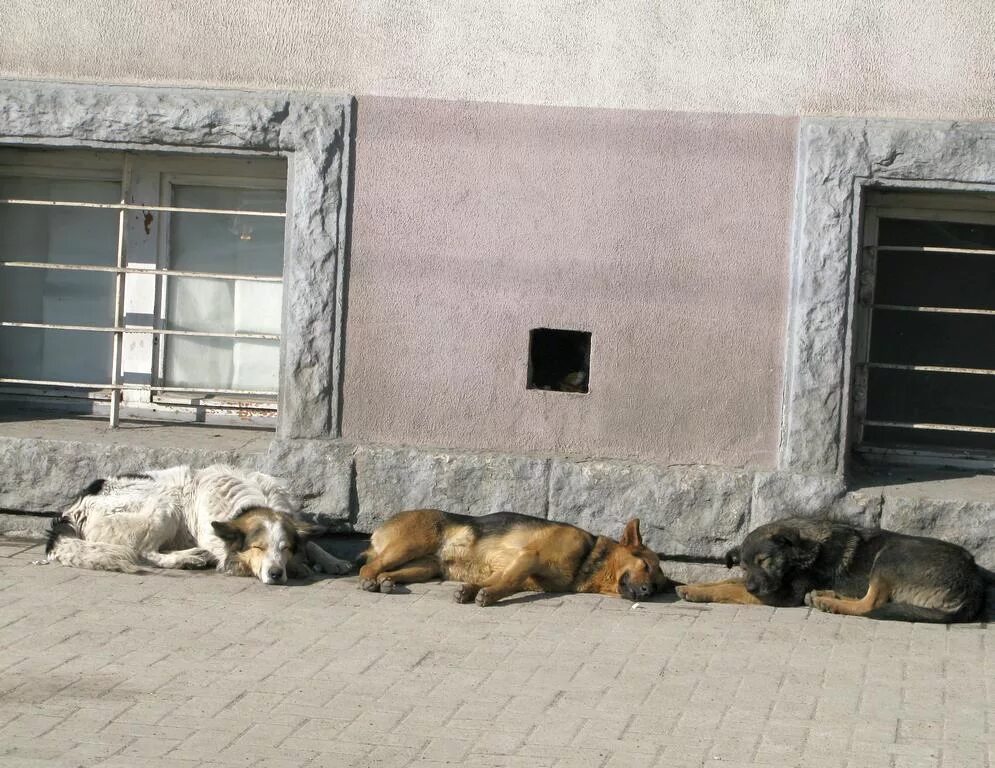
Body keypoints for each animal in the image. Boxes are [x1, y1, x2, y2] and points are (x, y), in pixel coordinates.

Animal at [44, 464, 352, 584]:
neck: (255, 502)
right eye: (258, 548)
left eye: (285, 547)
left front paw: (333, 561)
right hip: (165, 505)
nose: (276, 574)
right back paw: (190, 558)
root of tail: (73, 510)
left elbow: (311, 543)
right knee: (145, 552)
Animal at [358, 510, 668, 608]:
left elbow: (499, 579)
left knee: (389, 571)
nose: (647, 592)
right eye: (645, 566)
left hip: (425, 566)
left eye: (657, 585)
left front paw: (472, 590)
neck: (587, 558)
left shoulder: (521, 569)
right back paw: (369, 581)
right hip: (409, 546)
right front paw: (488, 596)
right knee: (368, 566)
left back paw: (387, 582)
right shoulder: (528, 557)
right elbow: (507, 582)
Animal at [676, 512, 988, 620]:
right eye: (743, 567)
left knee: (871, 604)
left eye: (765, 561)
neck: (801, 554)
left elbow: (731, 590)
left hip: (891, 555)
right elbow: (726, 582)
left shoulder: (780, 595)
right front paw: (693, 585)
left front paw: (700, 592)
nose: (753, 585)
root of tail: (973, 584)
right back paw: (825, 596)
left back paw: (831, 603)